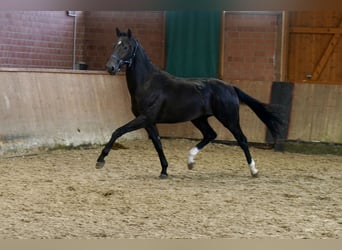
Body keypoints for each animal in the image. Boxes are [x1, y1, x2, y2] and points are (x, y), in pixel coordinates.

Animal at [95, 28, 280, 178]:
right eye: (114, 44)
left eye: (126, 47)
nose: (110, 67)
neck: (148, 83)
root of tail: (230, 87)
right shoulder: (149, 121)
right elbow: (157, 143)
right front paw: (164, 170)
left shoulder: (144, 118)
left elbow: (118, 131)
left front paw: (100, 160)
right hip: (199, 119)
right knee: (210, 135)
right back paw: (190, 161)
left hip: (229, 119)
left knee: (242, 140)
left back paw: (254, 171)